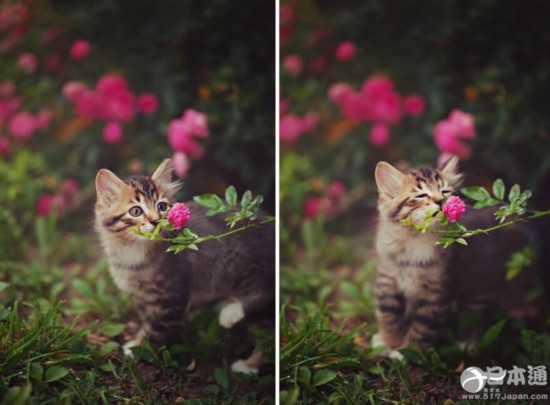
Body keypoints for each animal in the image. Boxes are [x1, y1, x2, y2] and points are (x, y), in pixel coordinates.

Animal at [96, 158, 276, 372]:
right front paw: (137, 341)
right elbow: (147, 322)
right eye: (136, 211)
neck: (133, 253)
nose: (155, 221)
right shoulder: (143, 298)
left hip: (240, 261)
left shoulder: (171, 296)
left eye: (162, 206)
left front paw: (141, 351)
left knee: (262, 293)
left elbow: (158, 330)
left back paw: (233, 323)